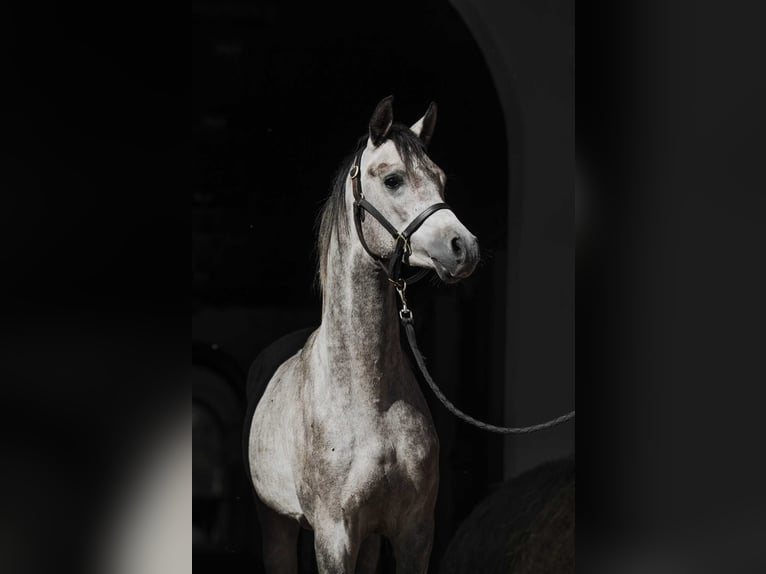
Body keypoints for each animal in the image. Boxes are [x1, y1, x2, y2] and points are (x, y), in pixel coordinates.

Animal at [246, 95, 480, 573]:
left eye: (441, 179)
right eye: (393, 180)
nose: (463, 247)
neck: (369, 397)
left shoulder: (415, 533)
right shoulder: (335, 538)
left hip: (370, 540)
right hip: (276, 524)